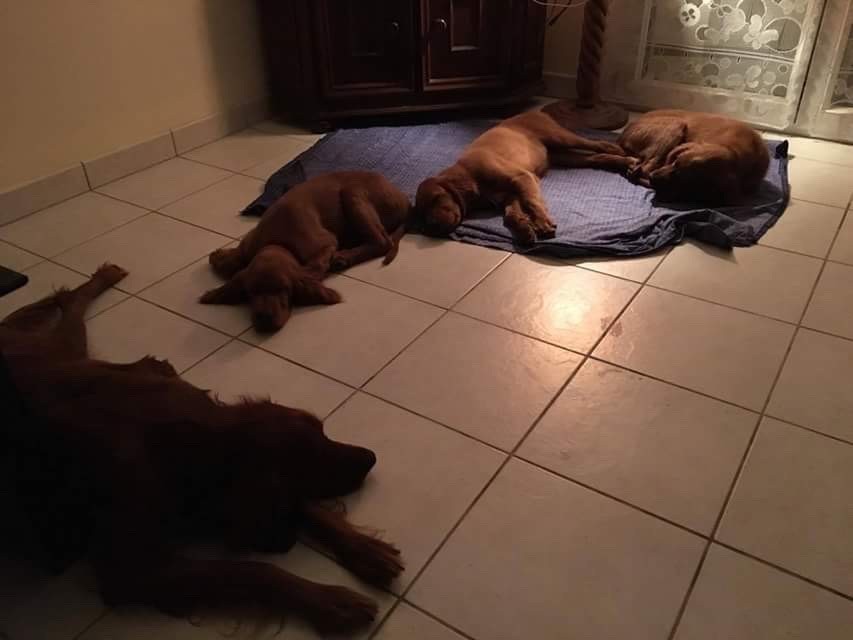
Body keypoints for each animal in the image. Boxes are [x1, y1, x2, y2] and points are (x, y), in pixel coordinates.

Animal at [1, 264, 403, 635]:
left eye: (323, 430)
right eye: (309, 463)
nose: (371, 458)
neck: (179, 438)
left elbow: (311, 511)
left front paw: (366, 550)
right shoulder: (128, 571)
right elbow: (253, 571)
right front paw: (332, 602)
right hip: (60, 355)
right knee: (70, 311)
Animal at [202, 171, 410, 331]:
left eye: (284, 289)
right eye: (251, 291)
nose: (265, 320)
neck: (278, 241)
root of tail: (405, 198)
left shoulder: (324, 243)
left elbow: (315, 267)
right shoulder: (251, 241)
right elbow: (236, 260)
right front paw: (221, 258)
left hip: (352, 193)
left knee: (383, 242)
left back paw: (343, 258)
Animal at [414, 110, 632, 244]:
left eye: (436, 198)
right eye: (421, 212)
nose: (431, 227)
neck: (470, 174)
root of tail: (536, 111)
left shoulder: (522, 178)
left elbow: (531, 202)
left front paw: (542, 223)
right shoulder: (509, 195)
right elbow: (511, 215)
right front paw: (524, 229)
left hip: (559, 137)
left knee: (595, 144)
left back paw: (618, 149)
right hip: (562, 155)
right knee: (596, 157)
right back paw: (626, 162)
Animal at [618, 109, 770, 204]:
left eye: (685, 180)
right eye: (675, 162)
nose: (653, 178)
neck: (736, 152)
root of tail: (622, 136)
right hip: (675, 125)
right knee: (645, 168)